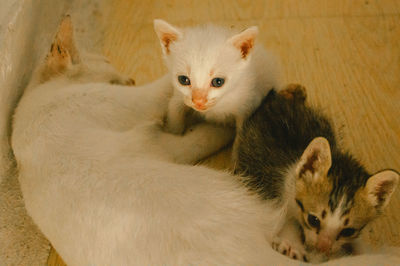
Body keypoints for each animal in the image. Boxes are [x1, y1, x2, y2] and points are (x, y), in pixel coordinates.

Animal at [153, 19, 282, 137]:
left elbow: (241, 137)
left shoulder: (249, 104)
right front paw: (173, 132)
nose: (198, 102)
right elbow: (174, 109)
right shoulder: (179, 96)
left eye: (218, 82)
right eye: (183, 80)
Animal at [236, 84, 398, 262]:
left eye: (348, 231)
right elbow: (286, 219)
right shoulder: (275, 192)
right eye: (313, 220)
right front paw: (292, 245)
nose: (323, 248)